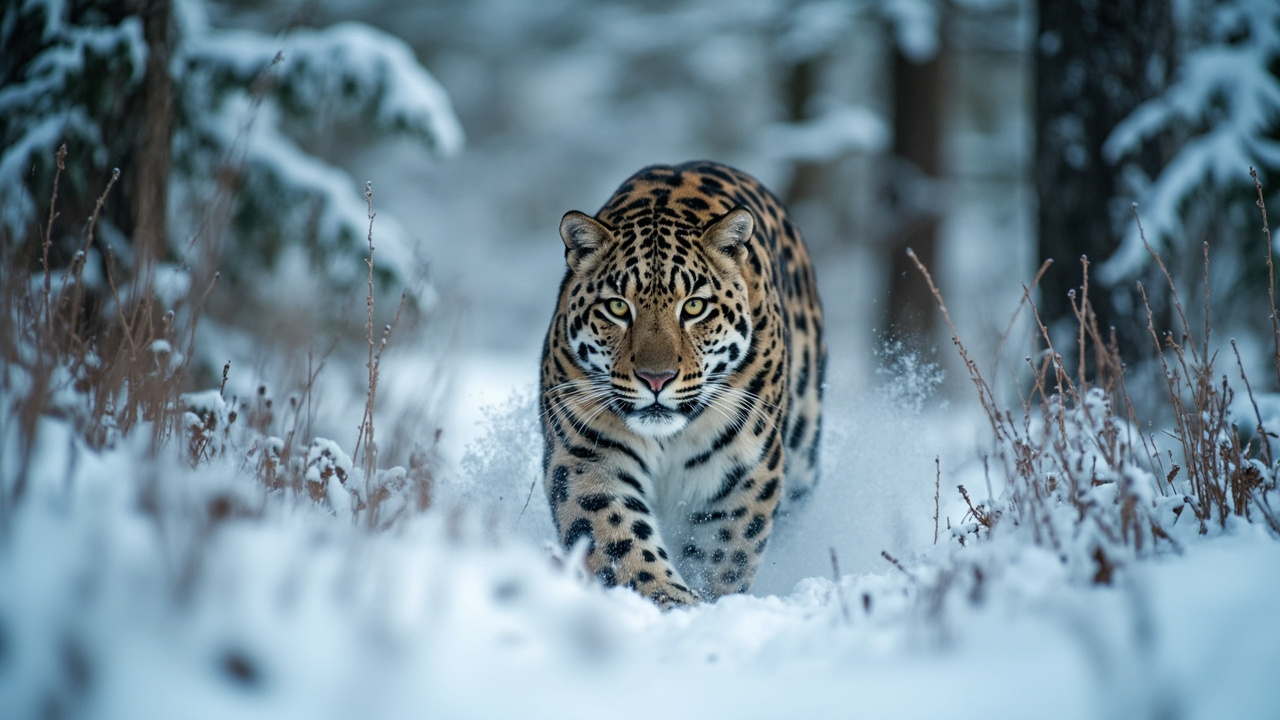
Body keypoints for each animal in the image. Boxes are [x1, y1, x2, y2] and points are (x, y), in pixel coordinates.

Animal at [539, 161, 825, 607]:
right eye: (617, 307)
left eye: (693, 307)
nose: (656, 379)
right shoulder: (589, 454)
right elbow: (619, 539)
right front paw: (668, 599)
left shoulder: (742, 468)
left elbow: (725, 554)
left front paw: (712, 602)